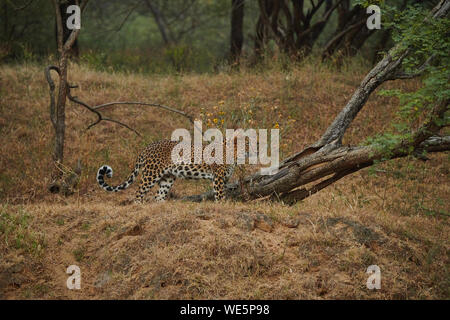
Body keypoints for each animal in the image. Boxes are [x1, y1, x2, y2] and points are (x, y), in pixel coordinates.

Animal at [96, 138, 241, 202]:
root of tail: (147, 147)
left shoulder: (224, 178)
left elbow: (222, 193)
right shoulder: (218, 177)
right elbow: (220, 195)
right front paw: (222, 205)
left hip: (167, 178)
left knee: (158, 195)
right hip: (150, 174)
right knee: (139, 193)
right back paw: (139, 206)